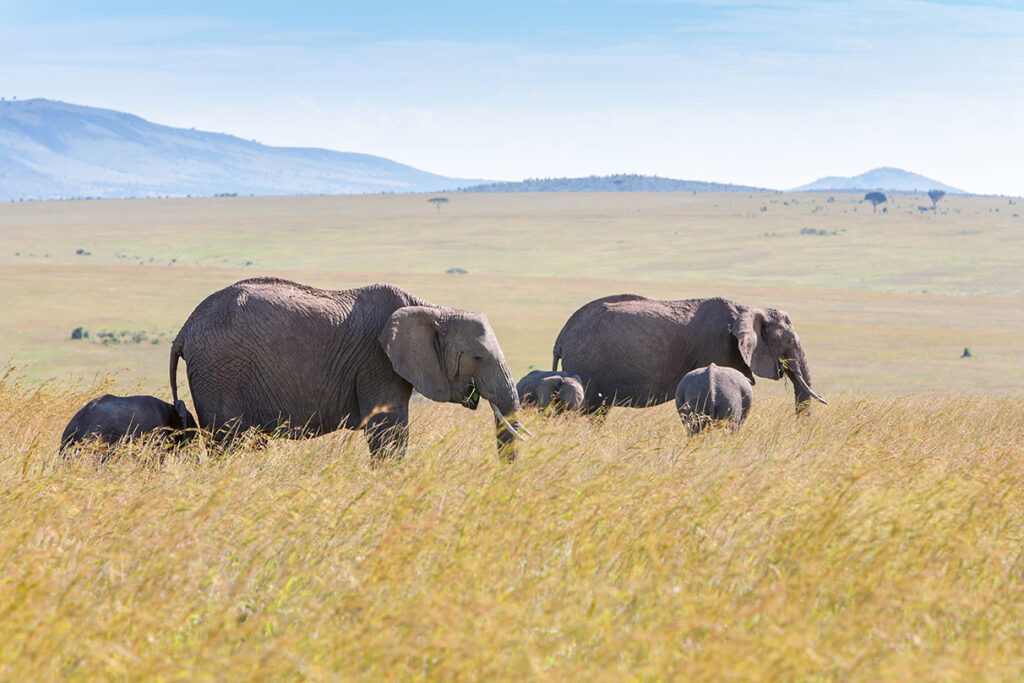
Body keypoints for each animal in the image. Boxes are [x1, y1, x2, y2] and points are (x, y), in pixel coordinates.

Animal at [169, 276, 528, 458]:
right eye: (478, 357)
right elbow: (388, 432)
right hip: (221, 370)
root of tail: (184, 329)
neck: (433, 309)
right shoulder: (377, 362)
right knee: (227, 441)